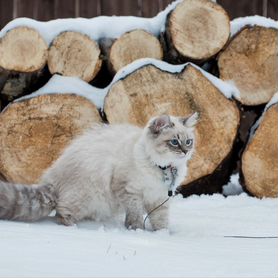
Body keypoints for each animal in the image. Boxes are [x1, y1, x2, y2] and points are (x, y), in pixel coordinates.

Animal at [0, 113, 200, 230]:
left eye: (188, 142)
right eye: (174, 142)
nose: (185, 152)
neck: (163, 168)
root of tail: (52, 178)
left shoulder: (158, 198)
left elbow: (161, 221)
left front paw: (162, 236)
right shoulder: (130, 191)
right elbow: (135, 215)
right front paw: (137, 231)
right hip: (85, 196)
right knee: (61, 212)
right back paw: (74, 228)